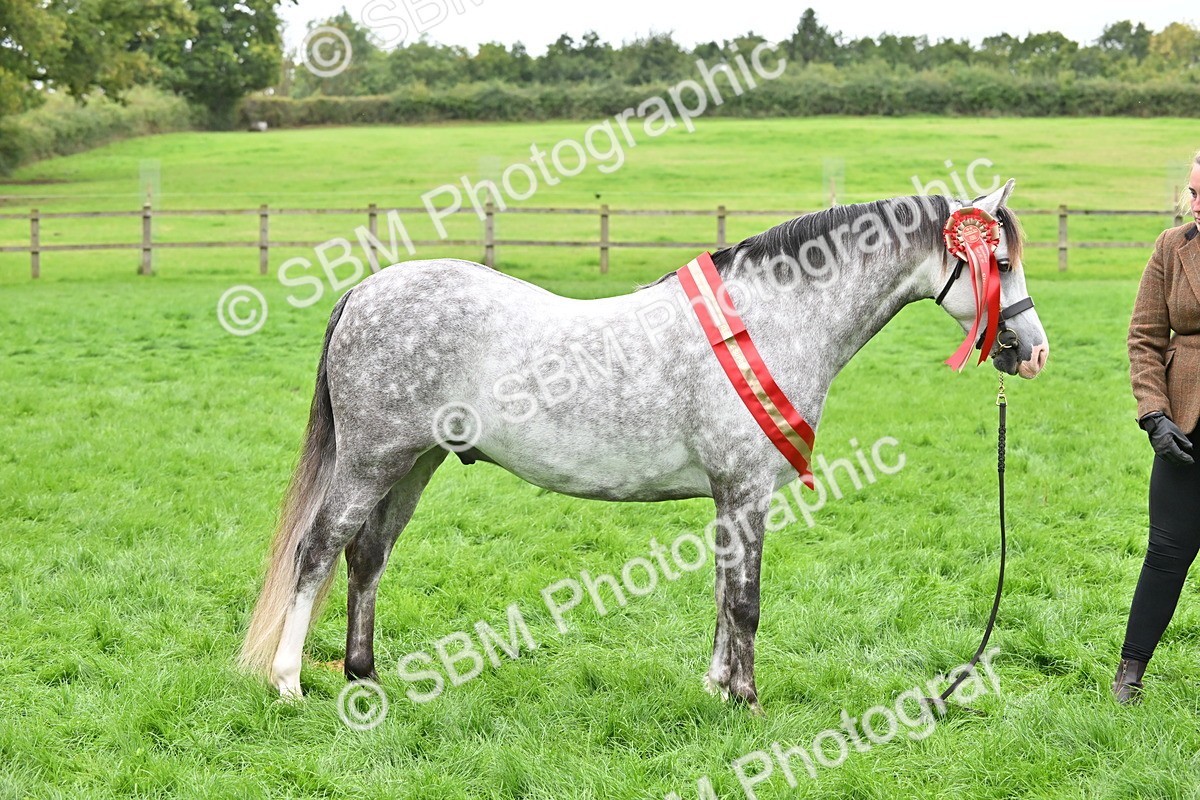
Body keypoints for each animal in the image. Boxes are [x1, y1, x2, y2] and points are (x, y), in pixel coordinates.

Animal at [240, 179, 1049, 712]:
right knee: (319, 549)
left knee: (367, 555)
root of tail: (365, 290)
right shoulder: (746, 491)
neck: (769, 318)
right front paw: (748, 701)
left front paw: (717, 689)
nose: (1033, 352)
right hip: (372, 458)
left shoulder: (728, 497)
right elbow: (746, 601)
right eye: (1001, 263)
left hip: (414, 464)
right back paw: (288, 683)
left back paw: (364, 676)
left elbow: (722, 593)